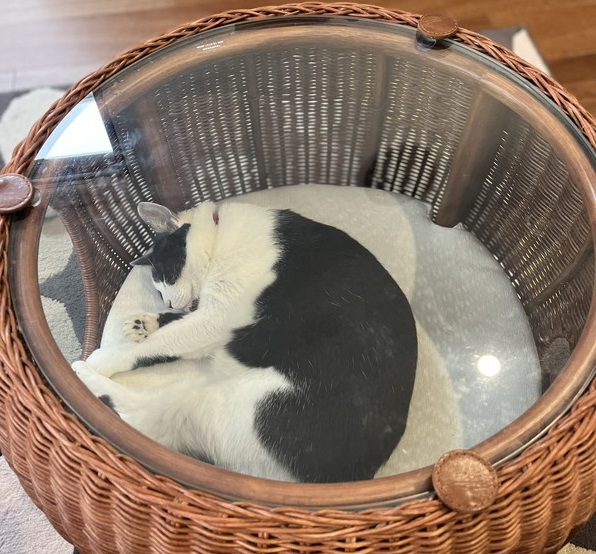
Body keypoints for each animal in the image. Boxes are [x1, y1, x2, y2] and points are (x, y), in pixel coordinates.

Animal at [73, 200, 418, 483]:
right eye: (157, 292)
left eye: (167, 275)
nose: (168, 302)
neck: (219, 234)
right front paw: (146, 322)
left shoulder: (212, 321)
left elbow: (156, 344)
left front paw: (107, 358)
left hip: (218, 404)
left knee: (137, 419)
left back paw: (83, 374)